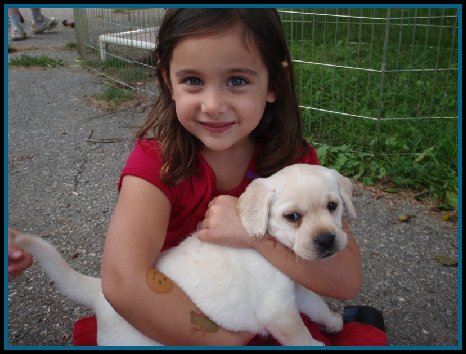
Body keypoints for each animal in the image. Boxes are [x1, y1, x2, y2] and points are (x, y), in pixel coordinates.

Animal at [14, 165, 356, 348]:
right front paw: (315, 342)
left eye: (333, 206)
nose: (326, 239)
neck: (271, 247)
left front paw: (333, 322)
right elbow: (299, 334)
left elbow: (317, 305)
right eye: (292, 217)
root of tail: (98, 294)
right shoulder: (278, 311)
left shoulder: (296, 290)